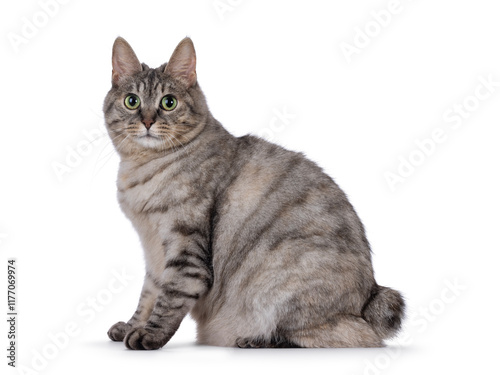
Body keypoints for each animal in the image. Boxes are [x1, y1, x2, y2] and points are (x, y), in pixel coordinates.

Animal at [103, 36, 404, 352]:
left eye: (168, 103)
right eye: (132, 101)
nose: (147, 121)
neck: (140, 167)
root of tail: (370, 298)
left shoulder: (185, 250)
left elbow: (168, 299)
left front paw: (148, 334)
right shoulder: (152, 252)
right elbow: (147, 297)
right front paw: (131, 326)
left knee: (339, 335)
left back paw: (253, 340)